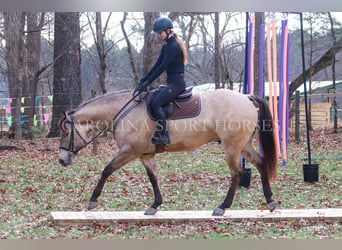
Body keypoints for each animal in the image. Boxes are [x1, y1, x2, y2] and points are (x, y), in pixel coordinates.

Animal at [58, 87, 278, 215]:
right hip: (243, 145)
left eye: (66, 132)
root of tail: (246, 98)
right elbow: (153, 177)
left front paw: (93, 200)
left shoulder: (130, 150)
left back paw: (222, 207)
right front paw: (155, 205)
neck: (122, 112)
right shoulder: (145, 154)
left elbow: (107, 170)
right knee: (260, 163)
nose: (62, 160)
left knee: (236, 173)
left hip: (232, 146)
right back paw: (270, 201)